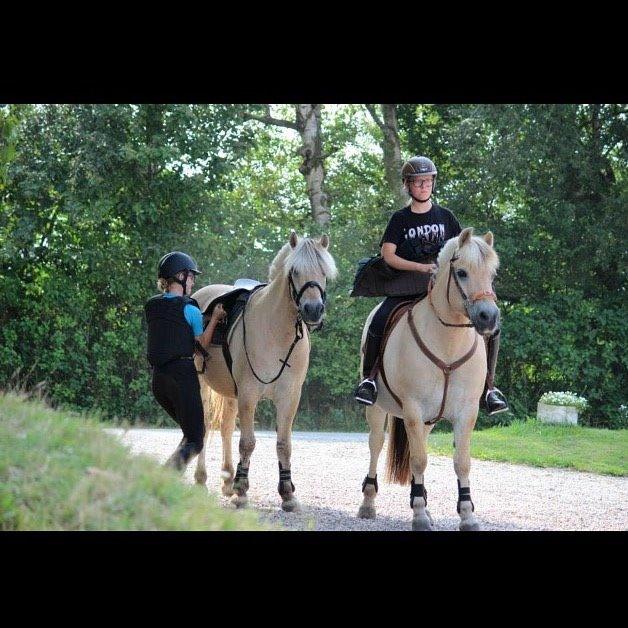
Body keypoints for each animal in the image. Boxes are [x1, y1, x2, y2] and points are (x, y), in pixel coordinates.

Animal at [191, 233, 338, 512]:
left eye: (324, 272)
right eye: (294, 271)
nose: (313, 310)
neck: (277, 332)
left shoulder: (289, 398)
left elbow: (284, 444)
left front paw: (287, 494)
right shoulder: (249, 395)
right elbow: (247, 443)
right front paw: (241, 492)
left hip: (230, 394)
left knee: (226, 427)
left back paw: (227, 480)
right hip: (202, 383)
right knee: (203, 427)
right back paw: (202, 480)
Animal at [358, 227, 500, 528]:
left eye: (492, 274)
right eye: (462, 273)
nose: (489, 317)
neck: (448, 343)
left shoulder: (466, 412)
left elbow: (461, 461)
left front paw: (467, 515)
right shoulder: (413, 409)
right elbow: (419, 460)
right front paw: (420, 515)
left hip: (428, 421)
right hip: (378, 409)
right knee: (376, 444)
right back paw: (368, 503)